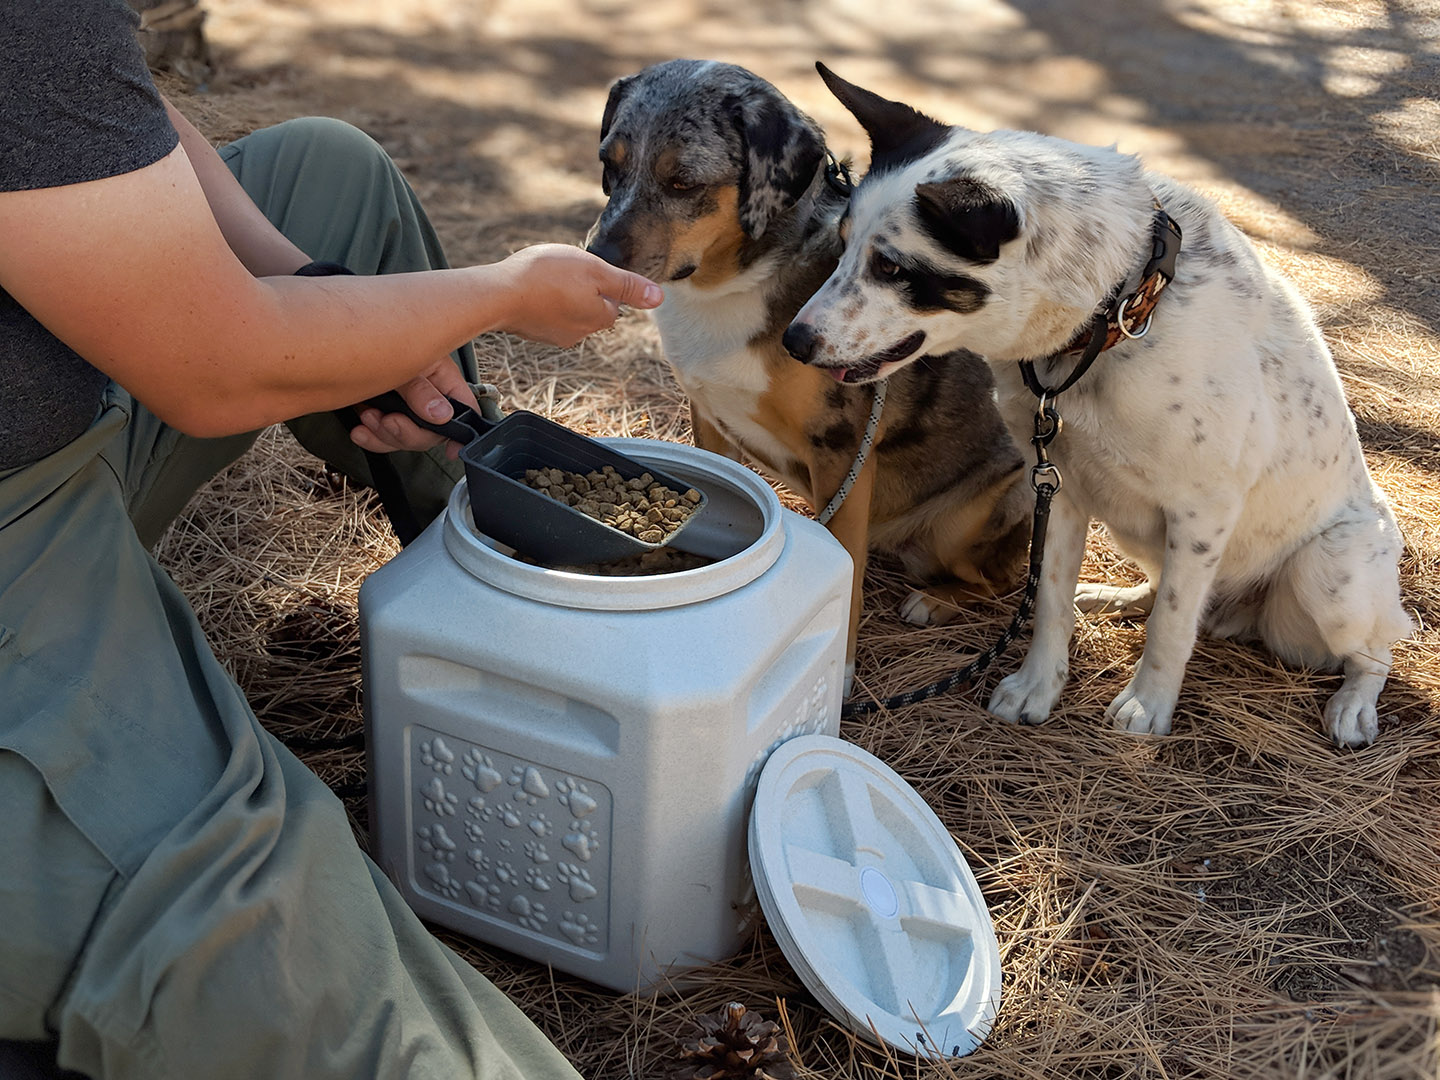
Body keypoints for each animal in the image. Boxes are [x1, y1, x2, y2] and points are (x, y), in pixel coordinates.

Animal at [783, 63, 1411, 748]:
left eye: (893, 267)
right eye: (842, 244)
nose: (793, 341)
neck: (1118, 310)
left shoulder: (1204, 510)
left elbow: (1171, 627)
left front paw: (1148, 704)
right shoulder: (1057, 484)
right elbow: (1051, 602)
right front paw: (1039, 687)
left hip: (1327, 576)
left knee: (1373, 648)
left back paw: (1354, 705)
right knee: (1166, 589)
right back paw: (1116, 597)